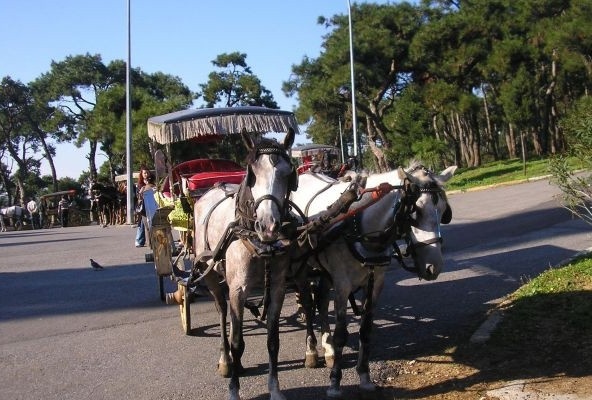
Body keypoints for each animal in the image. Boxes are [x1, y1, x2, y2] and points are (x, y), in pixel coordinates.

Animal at [192, 130, 298, 400]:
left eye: (287, 174)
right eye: (252, 174)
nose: (269, 225)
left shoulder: (277, 288)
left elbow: (273, 341)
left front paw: (275, 389)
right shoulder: (238, 289)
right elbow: (237, 342)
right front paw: (234, 390)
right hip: (209, 274)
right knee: (222, 312)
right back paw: (226, 360)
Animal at [292, 161, 458, 398]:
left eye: (444, 211)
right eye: (414, 212)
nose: (433, 267)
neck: (359, 223)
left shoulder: (375, 281)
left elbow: (366, 329)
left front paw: (364, 376)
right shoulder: (343, 285)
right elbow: (342, 333)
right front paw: (334, 383)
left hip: (324, 272)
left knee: (322, 302)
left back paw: (329, 348)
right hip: (302, 269)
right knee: (307, 305)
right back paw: (312, 351)